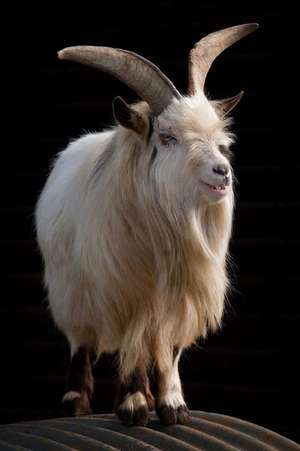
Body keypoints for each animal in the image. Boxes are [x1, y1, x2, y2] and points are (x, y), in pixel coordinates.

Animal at [35, 23, 258, 428]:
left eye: (221, 141)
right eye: (167, 138)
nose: (222, 171)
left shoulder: (181, 294)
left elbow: (169, 349)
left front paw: (173, 406)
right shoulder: (127, 291)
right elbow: (133, 345)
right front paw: (135, 405)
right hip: (70, 287)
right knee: (81, 339)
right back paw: (76, 401)